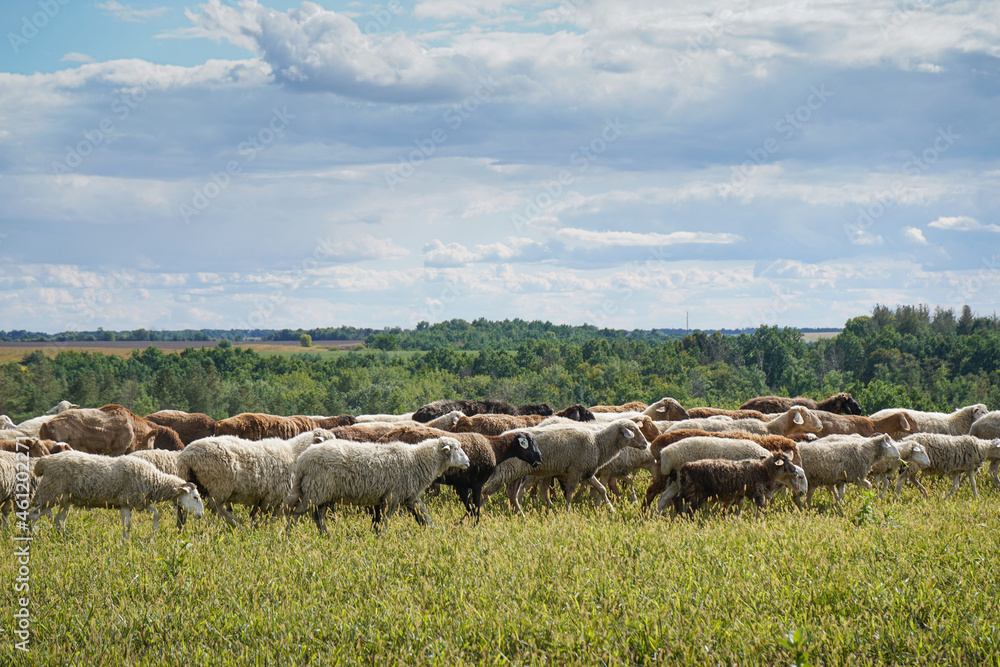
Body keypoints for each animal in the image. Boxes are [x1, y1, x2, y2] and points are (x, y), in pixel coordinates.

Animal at [27, 450, 205, 539]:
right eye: (195, 497)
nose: (201, 515)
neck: (153, 480)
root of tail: (43, 463)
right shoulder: (127, 501)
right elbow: (128, 525)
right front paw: (127, 541)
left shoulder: (138, 502)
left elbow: (155, 514)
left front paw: (152, 534)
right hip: (51, 495)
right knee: (33, 515)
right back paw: (32, 535)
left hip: (65, 499)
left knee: (59, 520)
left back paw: (65, 538)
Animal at [176, 429, 334, 528]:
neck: (294, 454)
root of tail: (187, 457)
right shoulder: (273, 497)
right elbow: (267, 517)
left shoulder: (264, 498)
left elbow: (257, 515)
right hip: (219, 485)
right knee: (214, 507)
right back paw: (234, 523)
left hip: (190, 483)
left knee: (184, 508)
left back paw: (181, 529)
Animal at [282, 436, 470, 532]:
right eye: (456, 448)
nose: (468, 462)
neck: (416, 460)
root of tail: (302, 460)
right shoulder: (392, 496)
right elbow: (385, 520)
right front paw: (382, 538)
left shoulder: (409, 497)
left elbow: (423, 514)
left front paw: (434, 531)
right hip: (315, 489)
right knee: (296, 512)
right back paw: (289, 535)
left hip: (323, 493)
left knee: (317, 516)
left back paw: (325, 536)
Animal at [482, 419, 649, 513]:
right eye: (633, 431)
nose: (646, 444)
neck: (597, 443)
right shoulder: (575, 470)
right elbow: (569, 492)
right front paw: (568, 511)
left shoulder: (587, 471)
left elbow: (601, 489)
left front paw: (612, 510)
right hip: (507, 470)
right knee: (487, 491)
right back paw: (482, 512)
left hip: (516, 472)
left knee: (512, 494)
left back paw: (520, 513)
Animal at [670, 452, 808, 517]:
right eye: (787, 465)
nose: (795, 471)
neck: (765, 470)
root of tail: (686, 467)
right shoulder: (755, 493)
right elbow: (760, 508)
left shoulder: (740, 494)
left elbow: (737, 509)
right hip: (697, 493)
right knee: (687, 507)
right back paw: (685, 518)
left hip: (688, 490)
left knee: (677, 499)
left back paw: (680, 515)